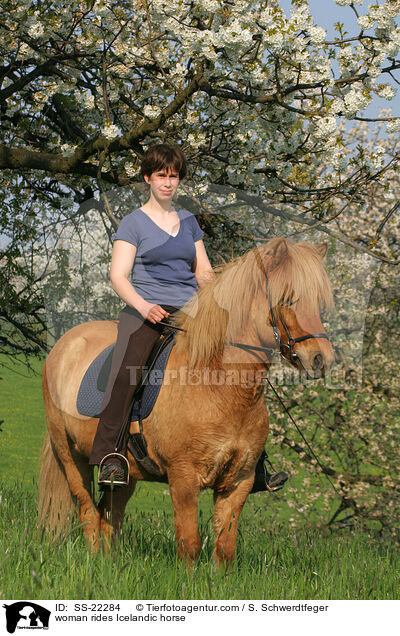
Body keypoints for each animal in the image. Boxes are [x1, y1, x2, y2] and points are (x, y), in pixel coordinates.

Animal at [38, 237, 334, 560]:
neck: (219, 386)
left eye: (319, 303)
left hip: (126, 472)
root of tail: (64, 343)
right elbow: (189, 544)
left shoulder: (238, 482)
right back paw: (94, 562)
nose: (321, 359)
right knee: (89, 513)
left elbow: (225, 550)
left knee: (109, 516)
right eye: (288, 299)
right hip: (70, 456)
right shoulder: (183, 477)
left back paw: (110, 563)